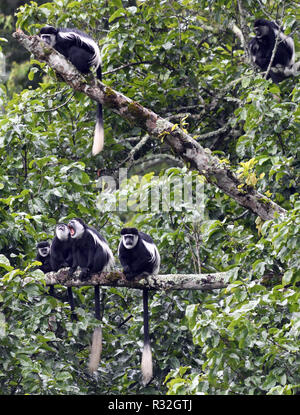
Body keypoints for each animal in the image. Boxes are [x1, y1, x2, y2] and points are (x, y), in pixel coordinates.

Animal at [39, 26, 104, 156]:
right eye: (43, 36)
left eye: (47, 36)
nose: (44, 40)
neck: (55, 39)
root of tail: (98, 60)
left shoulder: (64, 39)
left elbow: (70, 45)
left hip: (88, 57)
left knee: (75, 50)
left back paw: (80, 68)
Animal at [67, 218, 114, 374]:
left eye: (73, 221)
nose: (69, 221)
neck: (80, 236)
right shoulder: (73, 242)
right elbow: (75, 253)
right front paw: (73, 269)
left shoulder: (89, 237)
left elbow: (93, 250)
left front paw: (86, 268)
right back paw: (82, 270)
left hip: (100, 262)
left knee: (98, 252)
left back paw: (90, 270)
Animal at [117, 229, 161, 386]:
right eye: (126, 237)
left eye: (131, 237)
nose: (129, 240)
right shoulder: (122, 245)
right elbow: (122, 256)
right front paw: (126, 269)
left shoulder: (142, 247)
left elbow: (145, 258)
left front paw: (131, 271)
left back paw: (136, 273)